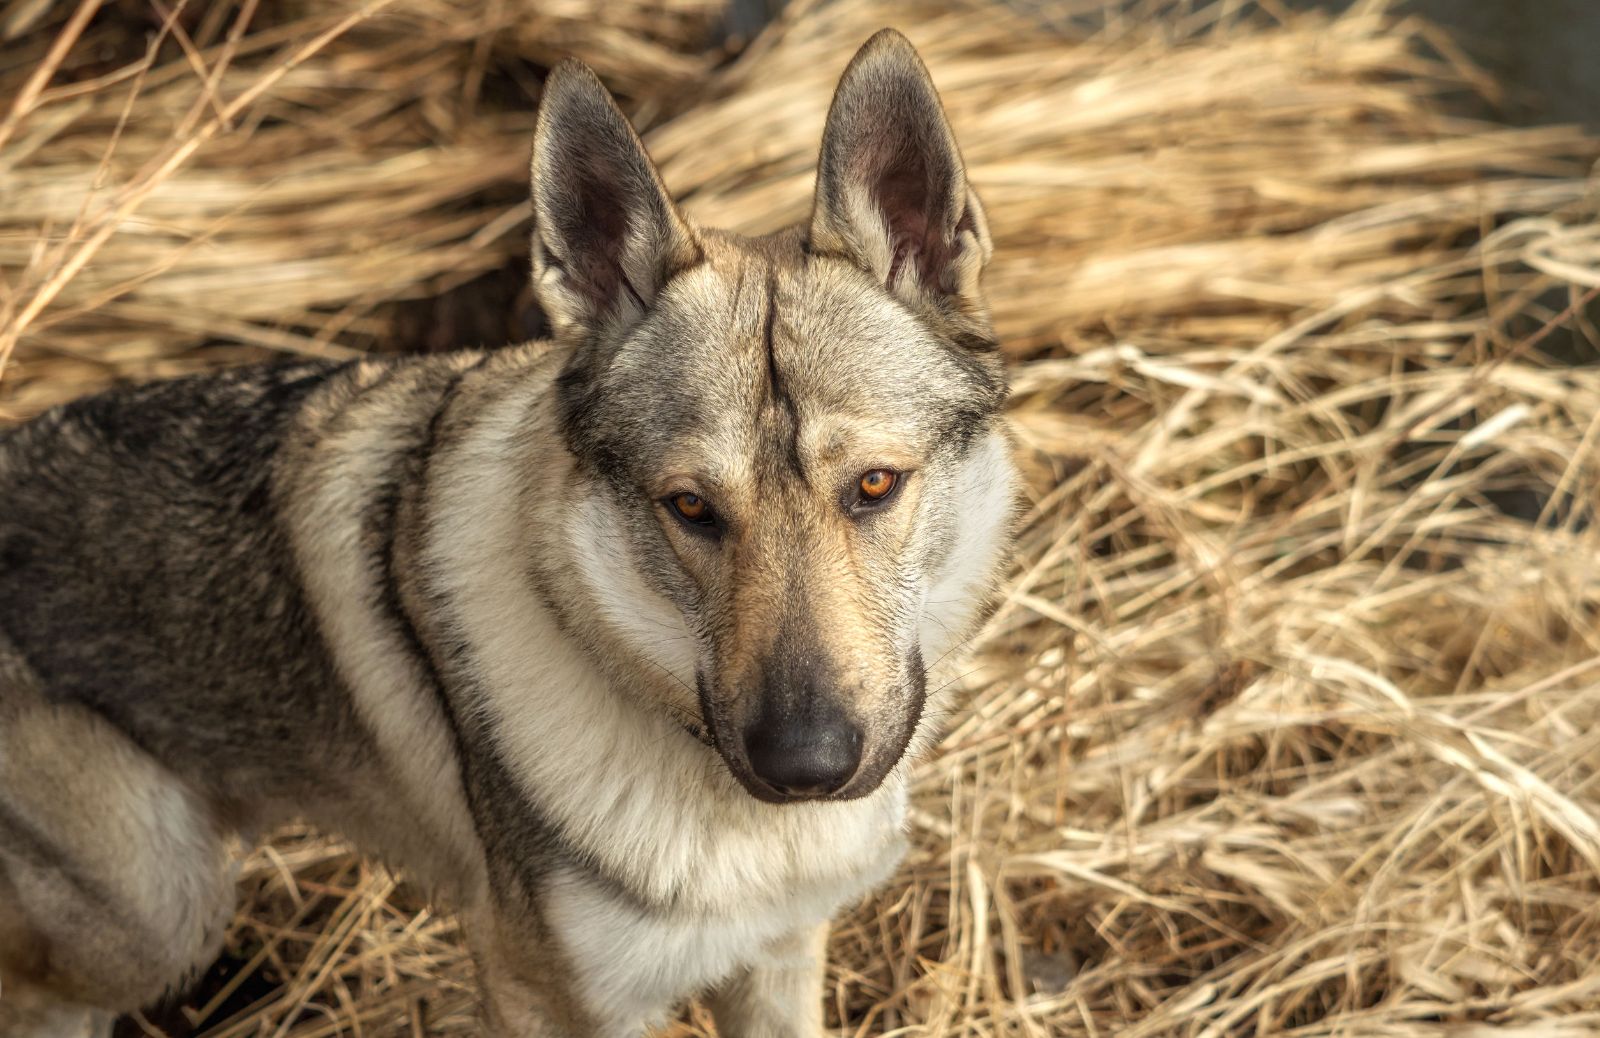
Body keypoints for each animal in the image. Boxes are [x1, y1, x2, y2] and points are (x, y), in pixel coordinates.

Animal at [0, 28, 1017, 1030]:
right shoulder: (544, 993)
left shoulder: (779, 958)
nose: (804, 765)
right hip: (162, 911)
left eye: (874, 486)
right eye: (690, 507)